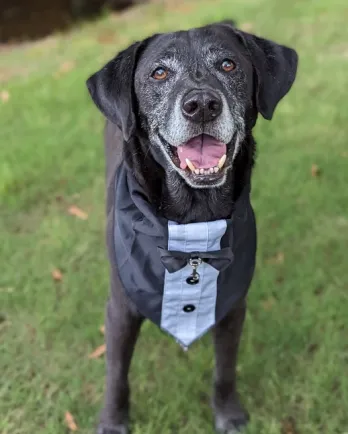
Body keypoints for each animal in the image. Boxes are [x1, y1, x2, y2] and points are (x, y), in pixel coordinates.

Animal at [87, 18, 300, 432]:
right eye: (159, 72)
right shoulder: (121, 309)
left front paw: (228, 413)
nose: (202, 105)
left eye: (229, 65)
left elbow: (224, 371)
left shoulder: (231, 308)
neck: (193, 223)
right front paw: (113, 421)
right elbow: (116, 374)